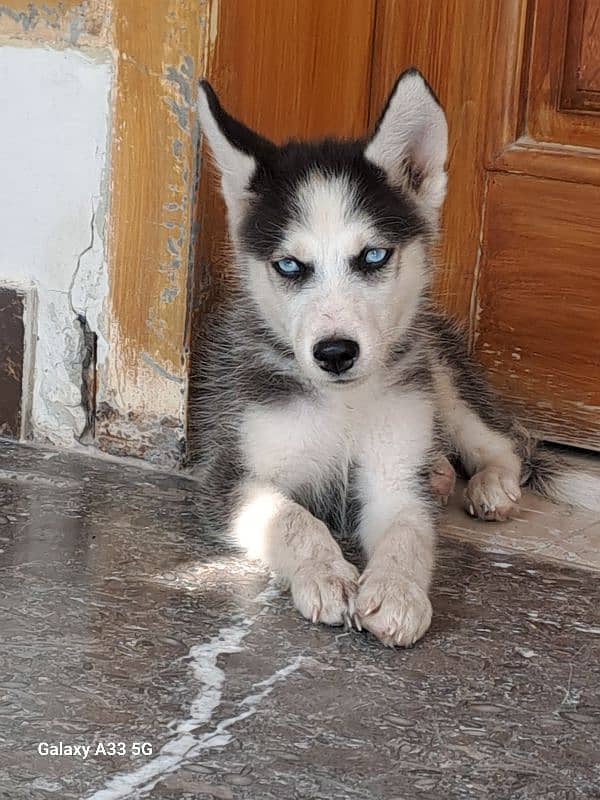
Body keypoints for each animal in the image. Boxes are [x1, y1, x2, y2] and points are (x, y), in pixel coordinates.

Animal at [191, 67, 596, 644]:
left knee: (506, 444)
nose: (335, 352)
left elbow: (407, 530)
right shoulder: (231, 475)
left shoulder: (394, 477)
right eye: (290, 266)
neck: (343, 405)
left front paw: (398, 592)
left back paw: (489, 484)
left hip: (440, 375)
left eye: (374, 255)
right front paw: (327, 574)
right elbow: (292, 519)